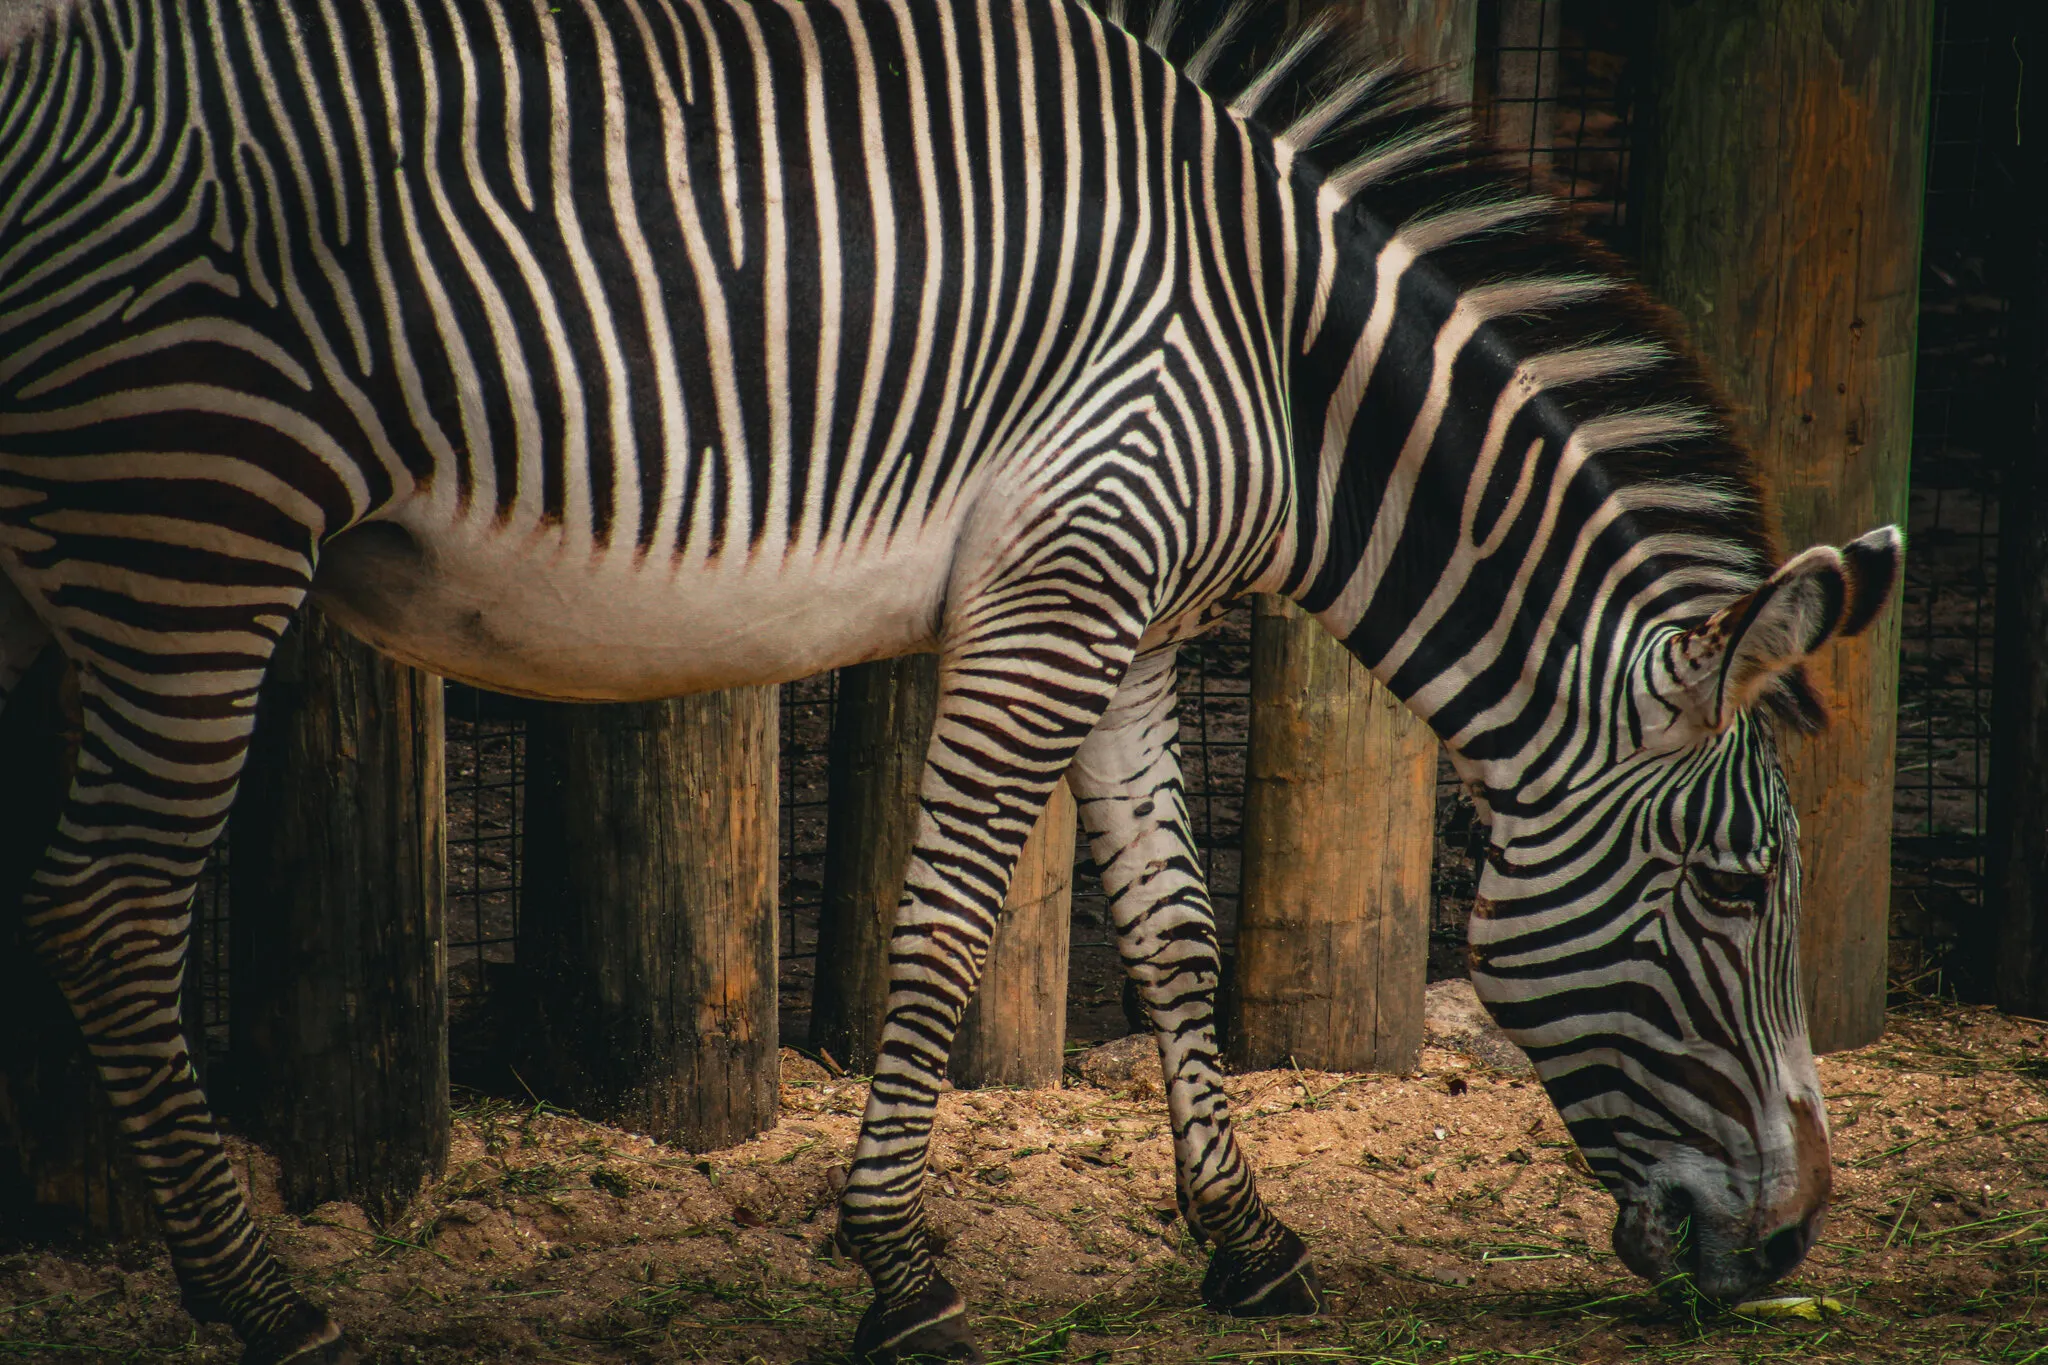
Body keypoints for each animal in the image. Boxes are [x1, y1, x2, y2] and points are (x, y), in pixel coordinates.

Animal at [0, 0, 1900, 1359]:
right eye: (1735, 890)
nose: (1797, 1238)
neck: (1286, 368)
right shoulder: (1055, 594)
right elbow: (941, 926)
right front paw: (902, 1266)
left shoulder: (1137, 625)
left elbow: (1175, 933)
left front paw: (1245, 1239)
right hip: (197, 515)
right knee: (103, 907)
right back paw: (259, 1299)